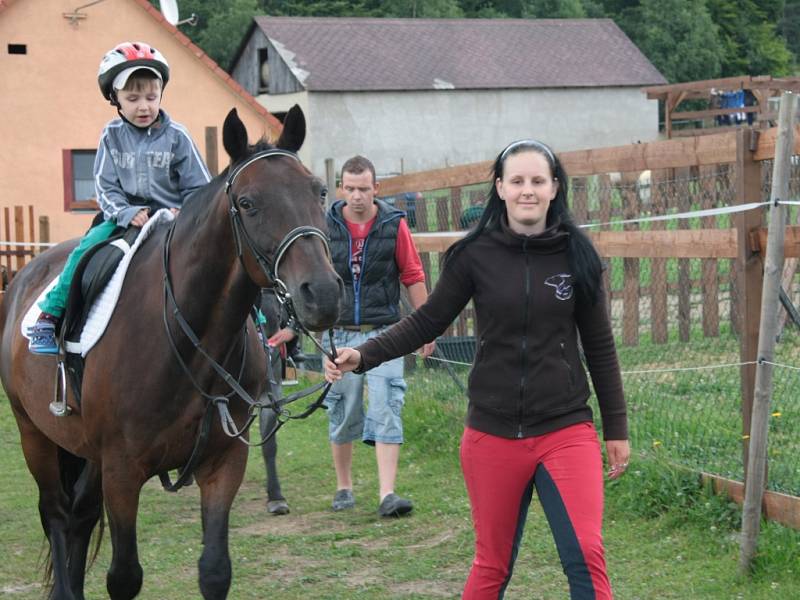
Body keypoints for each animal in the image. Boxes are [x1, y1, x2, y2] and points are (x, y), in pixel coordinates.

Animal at [0, 105, 340, 596]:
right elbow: (124, 576)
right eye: (247, 203)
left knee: (80, 516)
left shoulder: (223, 462)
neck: (188, 342)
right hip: (35, 436)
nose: (323, 294)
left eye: (319, 191)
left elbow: (215, 570)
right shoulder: (122, 472)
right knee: (58, 516)